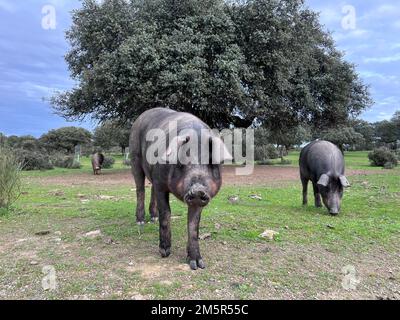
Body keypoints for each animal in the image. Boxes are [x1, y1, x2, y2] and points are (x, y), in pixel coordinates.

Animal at [130, 108, 233, 270]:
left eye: (211, 162)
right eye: (181, 162)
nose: (198, 189)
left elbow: (193, 225)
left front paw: (197, 264)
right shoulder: (161, 184)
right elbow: (166, 213)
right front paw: (164, 253)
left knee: (150, 189)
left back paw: (153, 218)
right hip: (134, 156)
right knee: (140, 189)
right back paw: (140, 222)